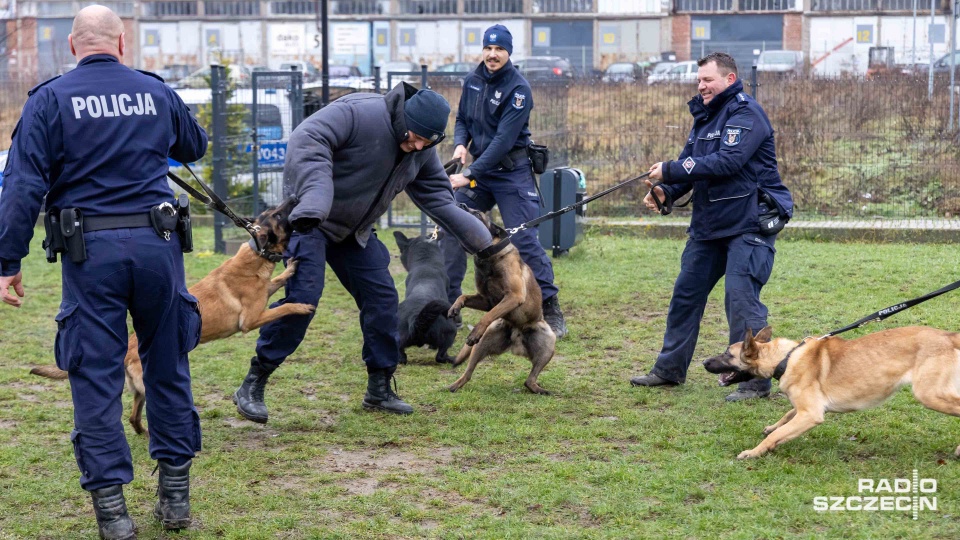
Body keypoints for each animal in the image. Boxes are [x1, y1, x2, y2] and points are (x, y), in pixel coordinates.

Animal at [29, 198, 316, 434]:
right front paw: (302, 307)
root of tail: (128, 349)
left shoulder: (264, 293)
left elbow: (276, 281)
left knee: (133, 418)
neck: (256, 254)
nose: (294, 197)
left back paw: (146, 436)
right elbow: (282, 308)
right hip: (150, 384)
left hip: (139, 391)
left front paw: (290, 269)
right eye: (278, 215)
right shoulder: (252, 319)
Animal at [396, 230, 460, 364]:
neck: (425, 262)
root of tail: (416, 319)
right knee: (440, 356)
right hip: (450, 332)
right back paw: (452, 358)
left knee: (401, 356)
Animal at [448, 209, 560, 394]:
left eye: (477, 213)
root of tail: (517, 334)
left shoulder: (513, 296)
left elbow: (488, 315)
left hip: (548, 342)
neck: (489, 256)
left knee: (529, 380)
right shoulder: (486, 300)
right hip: (481, 346)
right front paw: (455, 307)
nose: (461, 205)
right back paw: (454, 385)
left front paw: (475, 331)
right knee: (469, 372)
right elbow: (463, 297)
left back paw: (540, 390)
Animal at [700, 324, 960, 460]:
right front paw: (772, 427)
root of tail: (949, 336)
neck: (786, 358)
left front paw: (754, 452)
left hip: (929, 395)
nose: (703, 362)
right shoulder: (806, 408)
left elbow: (779, 433)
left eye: (727, 353)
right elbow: (786, 416)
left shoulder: (811, 414)